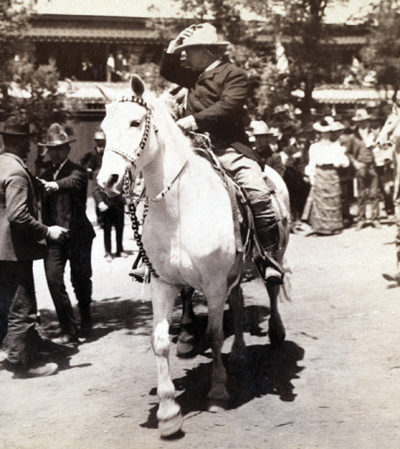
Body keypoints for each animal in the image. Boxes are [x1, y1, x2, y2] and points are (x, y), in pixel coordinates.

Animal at [97, 75, 290, 436]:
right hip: (233, 270)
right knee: (238, 302)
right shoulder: (163, 282)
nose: (107, 181)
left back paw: (276, 333)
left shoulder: (213, 283)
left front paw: (217, 391)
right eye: (102, 128)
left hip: (275, 254)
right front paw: (168, 411)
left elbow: (214, 333)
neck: (179, 209)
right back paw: (239, 353)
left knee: (272, 287)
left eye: (134, 122)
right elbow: (160, 341)